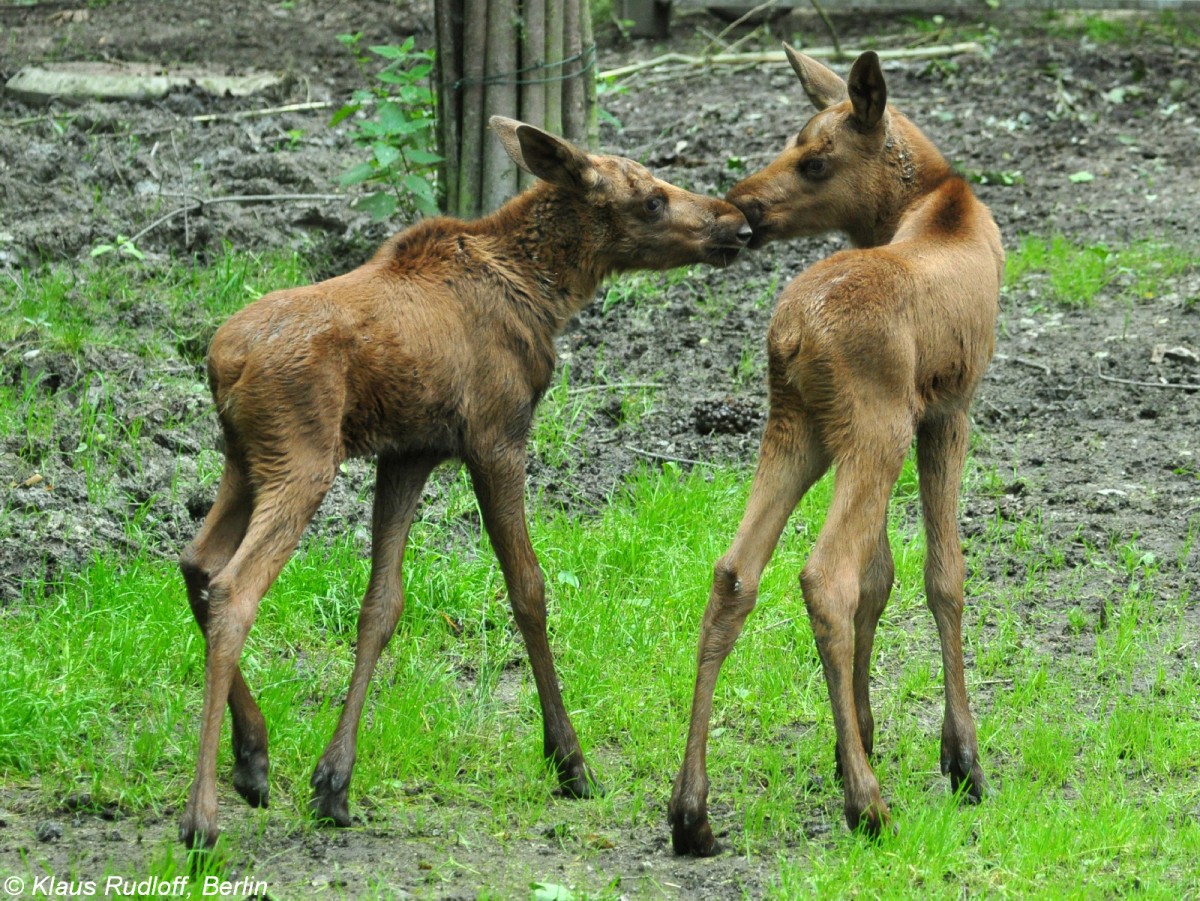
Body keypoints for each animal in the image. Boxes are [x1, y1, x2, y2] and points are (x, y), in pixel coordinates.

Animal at [177, 116, 748, 849]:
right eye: (650, 200)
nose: (736, 222)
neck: (547, 292)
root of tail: (223, 360)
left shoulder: (409, 453)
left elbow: (381, 604)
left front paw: (334, 780)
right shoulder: (496, 438)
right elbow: (528, 588)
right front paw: (570, 761)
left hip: (244, 459)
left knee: (197, 561)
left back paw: (254, 756)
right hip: (301, 458)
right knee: (233, 588)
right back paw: (202, 814)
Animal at [672, 47, 1008, 854]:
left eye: (815, 158)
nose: (742, 210)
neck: (933, 200)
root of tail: (792, 333)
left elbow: (882, 577)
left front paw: (858, 733)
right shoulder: (949, 409)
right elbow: (942, 574)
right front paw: (961, 757)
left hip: (800, 431)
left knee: (735, 571)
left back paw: (691, 811)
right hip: (875, 430)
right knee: (824, 575)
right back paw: (868, 803)